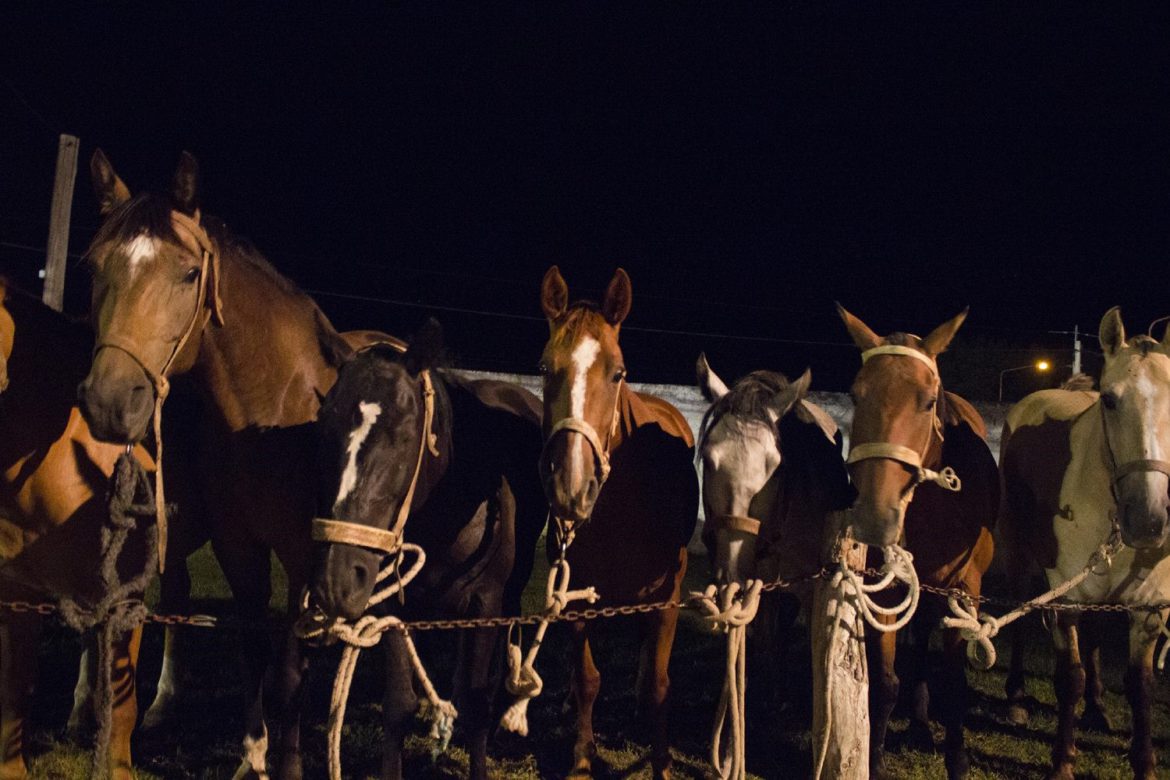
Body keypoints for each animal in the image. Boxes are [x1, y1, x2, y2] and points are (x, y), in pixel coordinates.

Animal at [76, 149, 393, 779]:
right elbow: (253, 650)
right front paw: (254, 755)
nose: (108, 401)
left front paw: (289, 764)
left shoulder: (303, 556)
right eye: (95, 266)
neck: (272, 411)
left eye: (187, 274)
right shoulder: (237, 546)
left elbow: (290, 669)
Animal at [301, 319, 546, 779]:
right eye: (322, 427)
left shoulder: (484, 604)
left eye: (403, 434)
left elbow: (476, 702)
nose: (336, 580)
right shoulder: (392, 608)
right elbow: (399, 704)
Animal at [537, 266, 699, 779]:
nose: (571, 486)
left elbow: (658, 687)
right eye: (544, 369)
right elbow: (588, 678)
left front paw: (661, 765)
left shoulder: (667, 599)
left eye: (618, 372)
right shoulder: (576, 596)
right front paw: (582, 760)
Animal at [837, 305, 998, 780]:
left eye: (928, 402)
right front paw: (874, 761)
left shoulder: (964, 589)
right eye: (856, 395)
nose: (876, 514)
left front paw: (958, 760)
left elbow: (955, 681)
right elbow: (886, 683)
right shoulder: (890, 585)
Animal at [999, 307, 1170, 780]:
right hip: (1018, 555)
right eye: (1109, 400)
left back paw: (1096, 708)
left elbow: (1140, 686)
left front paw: (1145, 765)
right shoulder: (1066, 599)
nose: (1148, 520)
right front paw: (1062, 761)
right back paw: (1016, 699)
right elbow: (1069, 677)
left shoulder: (1150, 608)